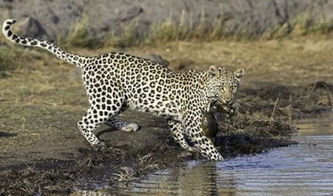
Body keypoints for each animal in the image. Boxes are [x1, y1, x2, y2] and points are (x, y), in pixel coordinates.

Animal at [1, 19, 243, 161]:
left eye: (233, 87)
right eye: (221, 87)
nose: (229, 101)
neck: (206, 92)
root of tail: (89, 59)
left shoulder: (176, 117)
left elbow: (177, 132)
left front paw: (188, 148)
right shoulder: (192, 121)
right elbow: (204, 142)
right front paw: (219, 161)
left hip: (120, 98)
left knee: (103, 117)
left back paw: (127, 126)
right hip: (110, 98)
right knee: (84, 120)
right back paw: (97, 144)